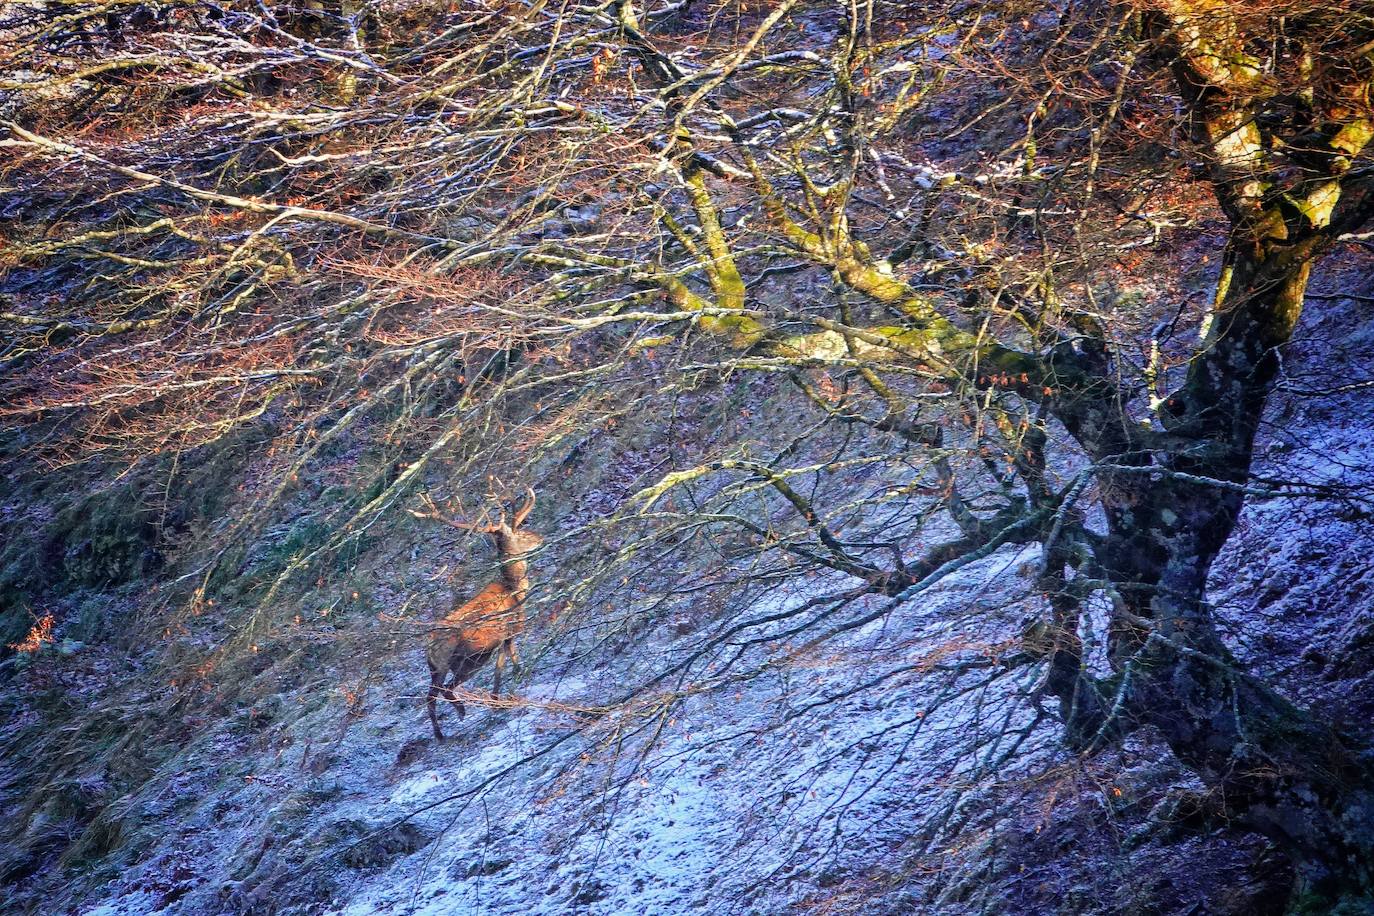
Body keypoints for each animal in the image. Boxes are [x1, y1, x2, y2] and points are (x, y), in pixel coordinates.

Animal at [406, 491, 541, 741]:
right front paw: (507, 689)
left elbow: (504, 665)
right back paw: (460, 711)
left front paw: (498, 699)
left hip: (438, 667)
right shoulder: (508, 631)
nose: (540, 537)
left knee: (431, 695)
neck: (514, 589)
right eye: (521, 533)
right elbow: (506, 664)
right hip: (461, 661)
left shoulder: (501, 640)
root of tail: (430, 647)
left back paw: (440, 734)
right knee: (445, 689)